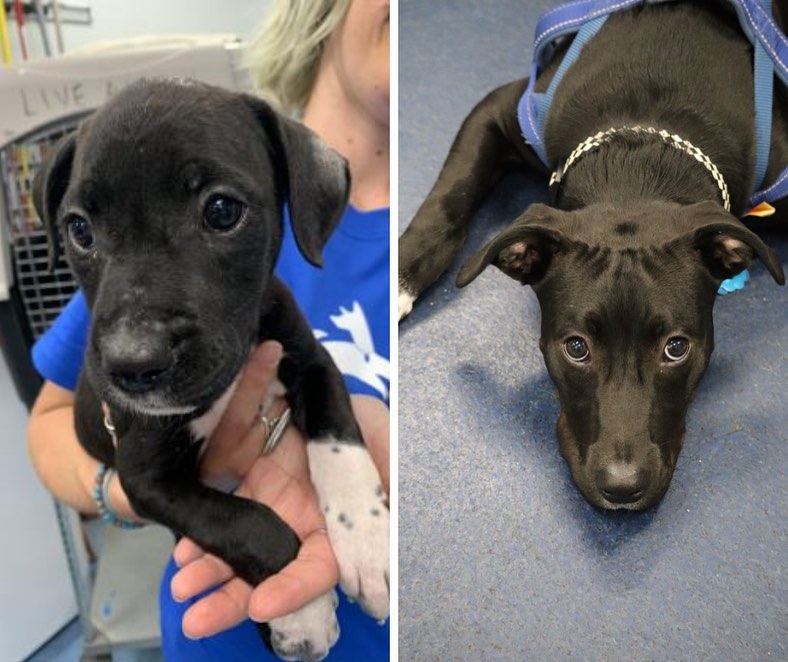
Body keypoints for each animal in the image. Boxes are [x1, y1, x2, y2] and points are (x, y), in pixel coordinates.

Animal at [35, 79, 390, 662]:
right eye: (79, 230)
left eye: (223, 211)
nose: (133, 363)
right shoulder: (146, 478)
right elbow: (247, 523)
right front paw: (302, 614)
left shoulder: (310, 360)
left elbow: (340, 435)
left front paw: (367, 538)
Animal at [404, 1, 784, 512]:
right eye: (576, 348)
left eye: (676, 348)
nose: (622, 488)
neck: (641, 157)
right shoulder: (504, 107)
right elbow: (446, 203)